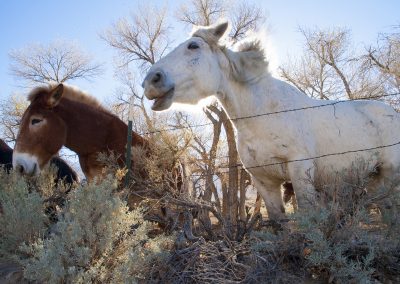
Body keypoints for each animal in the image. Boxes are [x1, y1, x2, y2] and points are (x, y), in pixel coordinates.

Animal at [143, 21, 400, 220]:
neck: (262, 115)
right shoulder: (263, 180)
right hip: (376, 181)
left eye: (193, 46)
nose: (150, 81)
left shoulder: (300, 170)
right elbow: (278, 223)